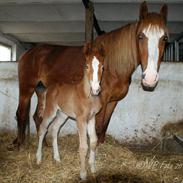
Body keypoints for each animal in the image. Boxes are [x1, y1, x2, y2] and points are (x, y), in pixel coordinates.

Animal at [12, 1, 168, 148]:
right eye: (140, 36)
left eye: (164, 38)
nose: (150, 78)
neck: (112, 65)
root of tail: (29, 52)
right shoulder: (101, 99)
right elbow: (97, 127)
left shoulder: (112, 102)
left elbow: (104, 127)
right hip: (26, 89)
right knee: (21, 113)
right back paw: (19, 144)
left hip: (41, 90)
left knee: (39, 117)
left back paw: (43, 144)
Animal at [36, 43, 104, 180]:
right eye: (86, 66)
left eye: (102, 67)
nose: (96, 89)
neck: (87, 96)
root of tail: (49, 89)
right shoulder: (81, 119)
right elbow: (83, 146)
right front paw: (83, 174)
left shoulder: (92, 118)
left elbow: (94, 141)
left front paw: (93, 168)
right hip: (50, 111)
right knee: (43, 129)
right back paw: (39, 159)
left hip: (62, 114)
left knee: (54, 129)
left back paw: (57, 158)